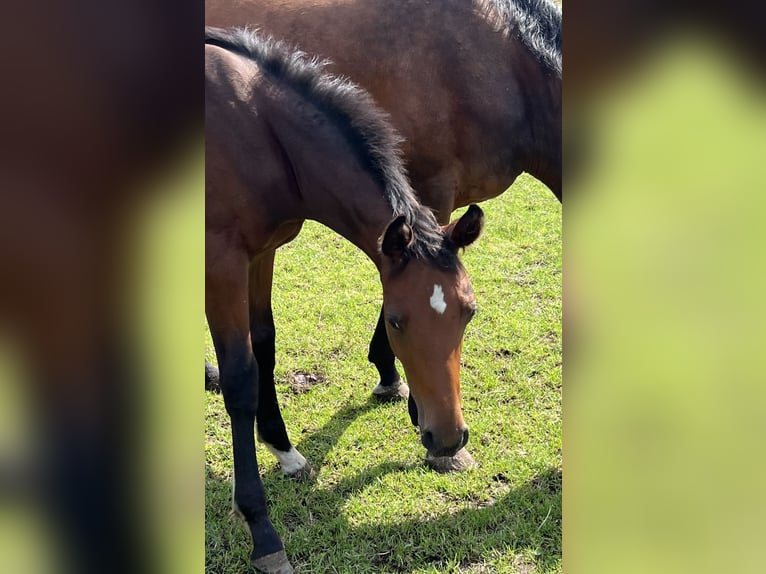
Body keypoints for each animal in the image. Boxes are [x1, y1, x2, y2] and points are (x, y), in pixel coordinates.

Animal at [207, 28, 484, 574]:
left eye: (469, 312)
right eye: (394, 322)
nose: (446, 438)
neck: (257, 128)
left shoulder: (262, 252)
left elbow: (264, 345)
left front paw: (285, 451)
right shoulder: (220, 262)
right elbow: (240, 377)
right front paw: (261, 528)